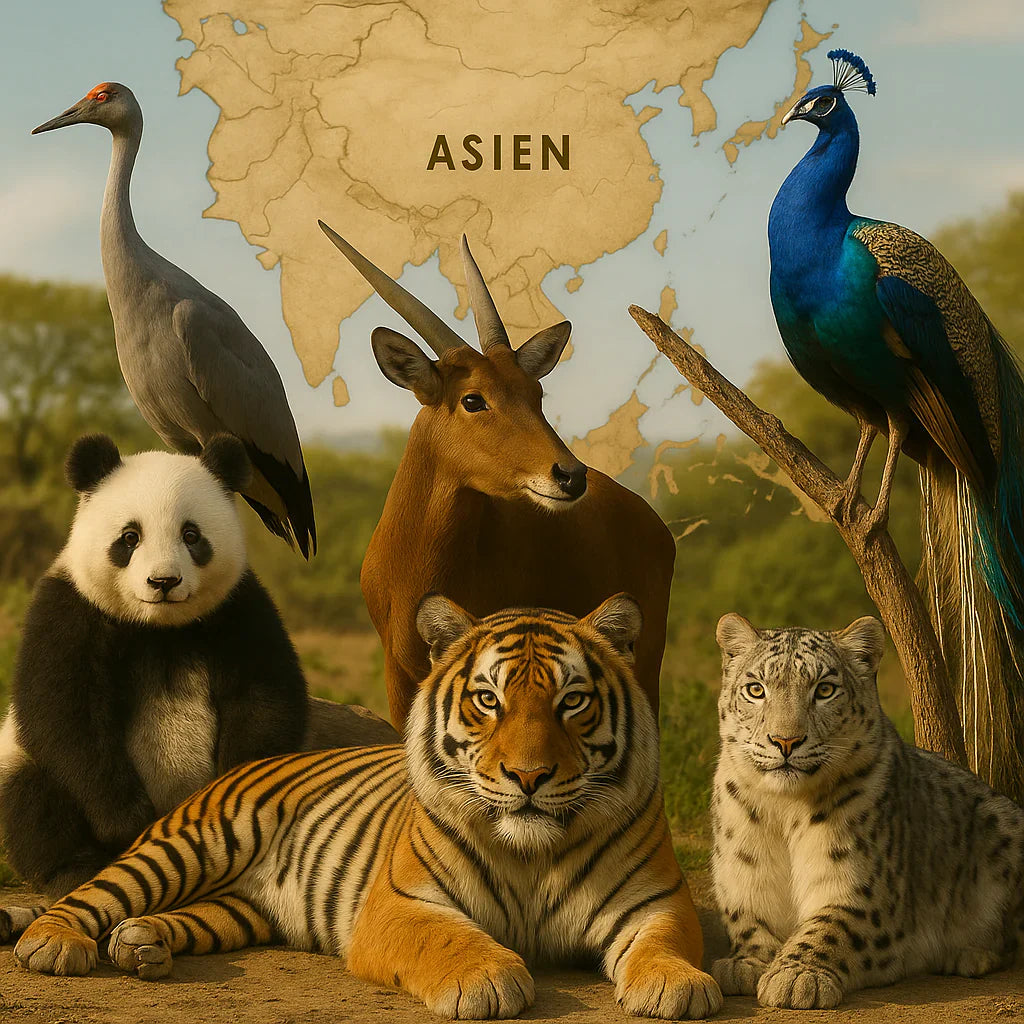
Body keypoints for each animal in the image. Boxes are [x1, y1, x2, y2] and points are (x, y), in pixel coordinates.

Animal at [0, 433, 397, 900]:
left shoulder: (240, 609)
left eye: (191, 535)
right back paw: (77, 871)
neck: (160, 628)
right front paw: (127, 823)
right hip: (21, 759)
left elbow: (262, 701)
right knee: (33, 794)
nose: (164, 582)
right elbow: (65, 711)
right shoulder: (72, 608)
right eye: (130, 537)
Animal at [11, 593, 722, 1021]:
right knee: (92, 893)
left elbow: (666, 944)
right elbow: (448, 940)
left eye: (572, 702)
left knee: (177, 917)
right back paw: (52, 944)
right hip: (187, 846)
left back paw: (141, 946)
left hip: (236, 909)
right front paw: (487, 980)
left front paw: (676, 984)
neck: (533, 852)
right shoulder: (403, 905)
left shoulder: (657, 901)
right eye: (488, 700)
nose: (528, 776)